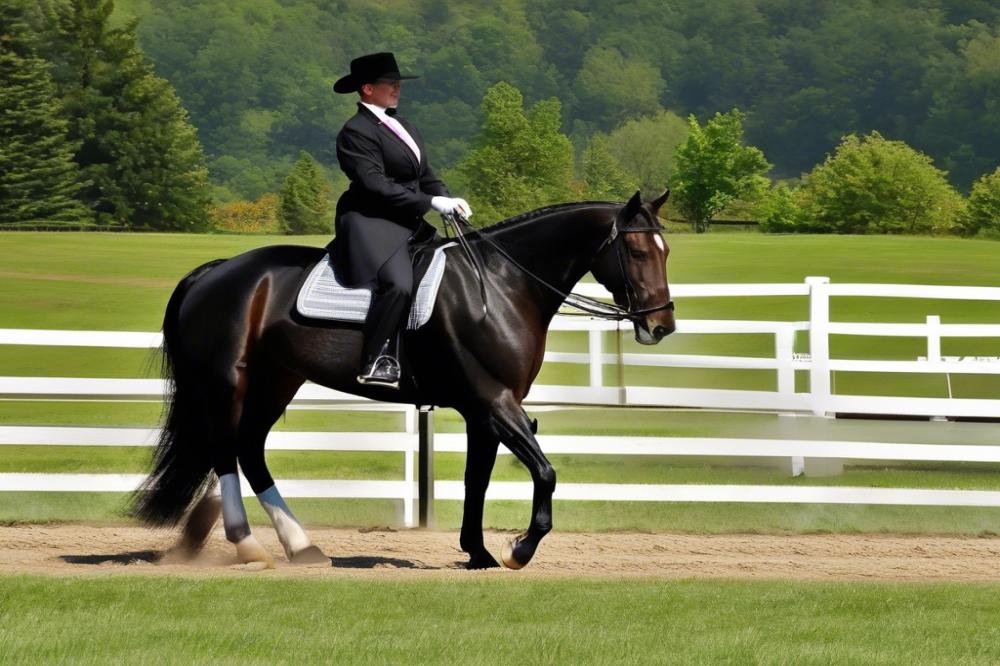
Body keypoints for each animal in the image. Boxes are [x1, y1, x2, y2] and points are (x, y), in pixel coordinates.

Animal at [129, 189, 676, 568]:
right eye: (639, 253)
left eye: (666, 250)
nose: (661, 326)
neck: (501, 286)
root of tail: (216, 271)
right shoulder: (496, 402)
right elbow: (545, 473)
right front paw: (519, 549)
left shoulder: (485, 410)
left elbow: (477, 479)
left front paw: (478, 553)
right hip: (229, 382)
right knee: (226, 451)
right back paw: (249, 546)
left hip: (276, 381)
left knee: (249, 450)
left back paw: (302, 546)